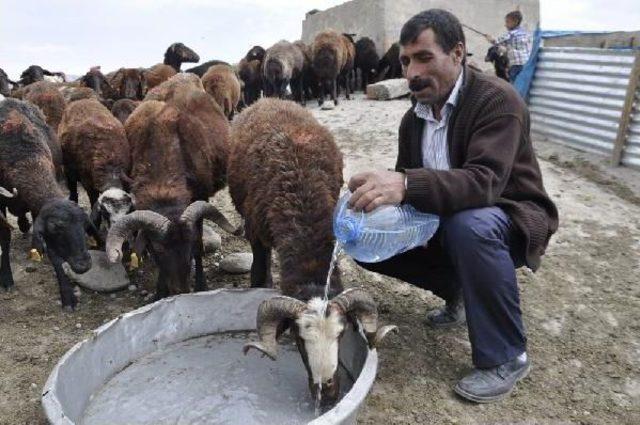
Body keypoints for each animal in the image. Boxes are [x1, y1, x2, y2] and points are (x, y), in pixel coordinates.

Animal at [0, 99, 95, 308]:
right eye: (55, 228)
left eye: (84, 225)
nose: (83, 265)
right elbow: (5, 238)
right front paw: (6, 278)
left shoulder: (38, 210)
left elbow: (55, 256)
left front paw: (67, 295)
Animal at [57, 97, 134, 230]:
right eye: (105, 212)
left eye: (127, 212)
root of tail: (81, 100)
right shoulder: (88, 182)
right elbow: (93, 201)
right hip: (67, 167)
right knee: (72, 186)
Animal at [107, 73, 238, 296]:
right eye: (158, 248)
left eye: (189, 244)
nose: (181, 290)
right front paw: (160, 292)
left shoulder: (200, 198)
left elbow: (200, 244)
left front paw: (201, 285)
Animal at [225, 97, 396, 402]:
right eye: (298, 339)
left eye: (341, 334)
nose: (326, 392)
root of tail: (269, 99)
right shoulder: (255, 231)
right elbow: (258, 268)